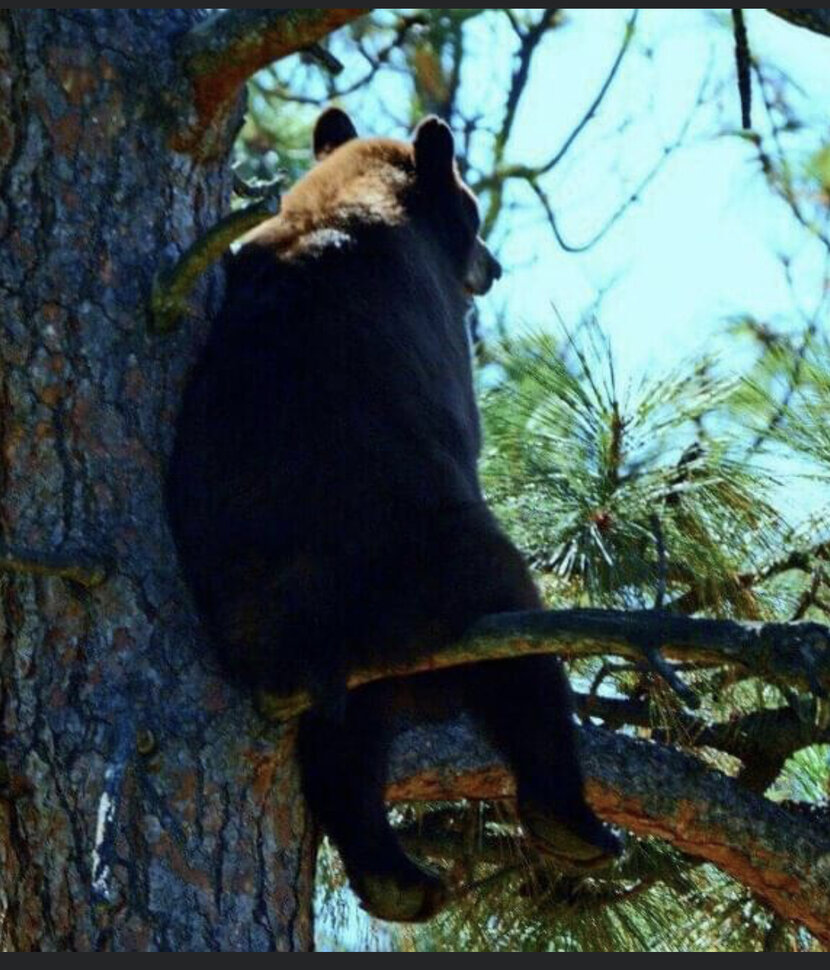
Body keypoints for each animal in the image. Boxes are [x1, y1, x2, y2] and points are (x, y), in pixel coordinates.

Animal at [169, 108, 620, 924]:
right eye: (473, 211)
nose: (493, 267)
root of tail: (306, 638)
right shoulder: (441, 332)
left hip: (282, 618)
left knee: (345, 747)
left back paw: (396, 877)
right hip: (439, 568)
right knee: (517, 653)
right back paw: (572, 822)